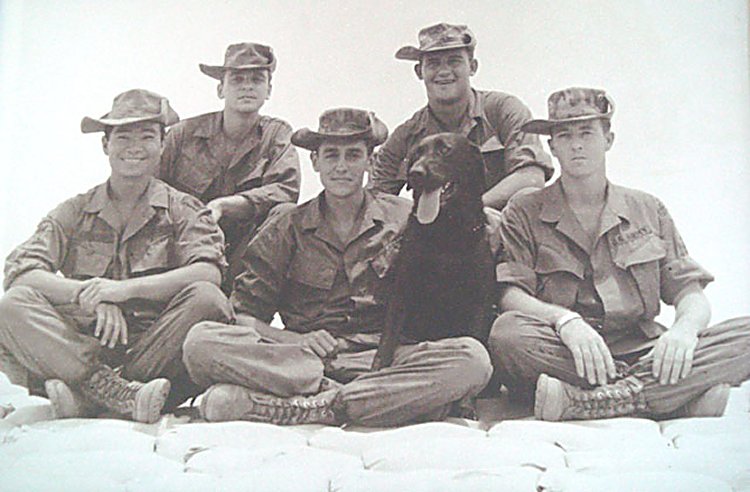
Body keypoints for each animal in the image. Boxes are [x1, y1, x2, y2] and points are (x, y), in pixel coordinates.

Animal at [373, 133, 497, 369]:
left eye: (445, 150)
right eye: (416, 153)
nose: (416, 173)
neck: (445, 233)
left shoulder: (480, 298)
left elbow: (476, 337)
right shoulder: (402, 288)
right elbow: (388, 334)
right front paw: (378, 366)